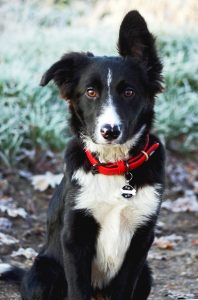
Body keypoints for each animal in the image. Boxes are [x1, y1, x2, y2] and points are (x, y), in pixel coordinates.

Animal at [0, 10, 164, 300]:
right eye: (90, 92)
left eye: (129, 92)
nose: (109, 131)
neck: (113, 166)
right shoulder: (75, 236)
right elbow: (78, 288)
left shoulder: (140, 240)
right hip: (44, 274)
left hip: (146, 275)